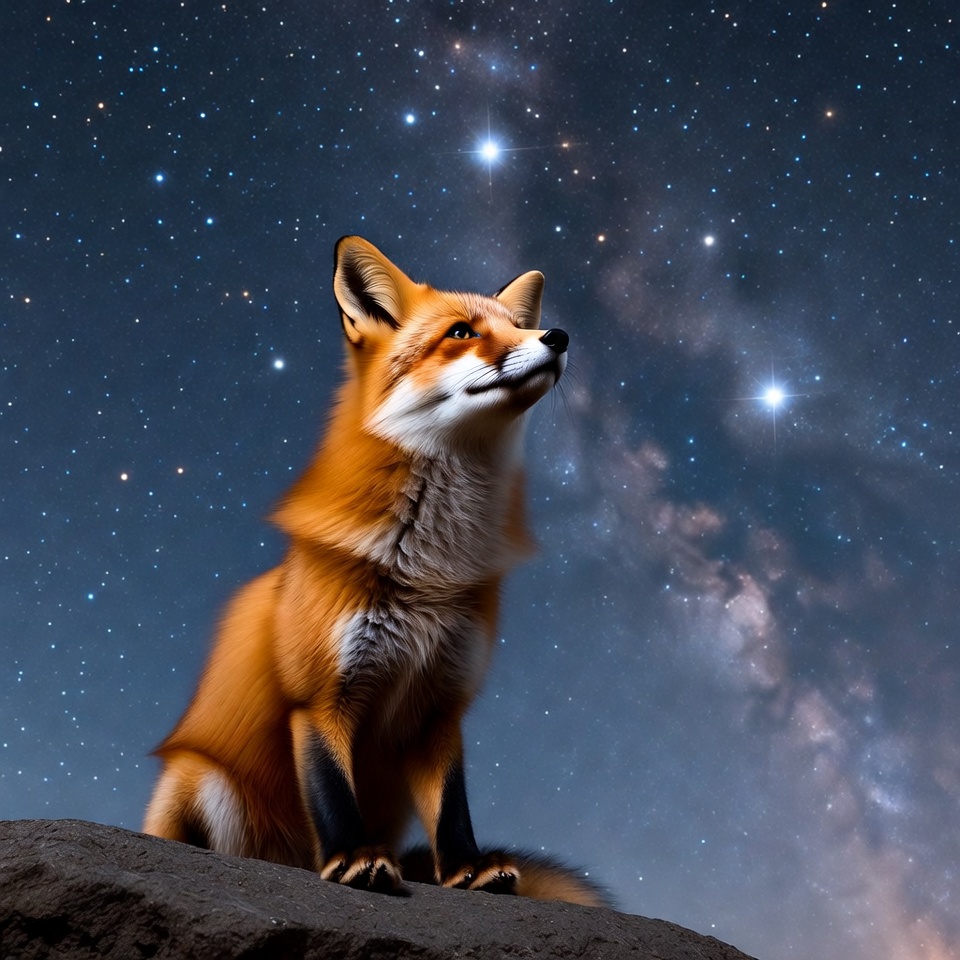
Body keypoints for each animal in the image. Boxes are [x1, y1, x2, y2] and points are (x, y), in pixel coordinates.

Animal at [143, 235, 606, 907]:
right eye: (462, 332)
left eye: (517, 325)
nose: (559, 335)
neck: (427, 570)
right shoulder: (318, 697)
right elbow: (333, 790)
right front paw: (355, 861)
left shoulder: (442, 704)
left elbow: (452, 808)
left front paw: (467, 871)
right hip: (199, 777)